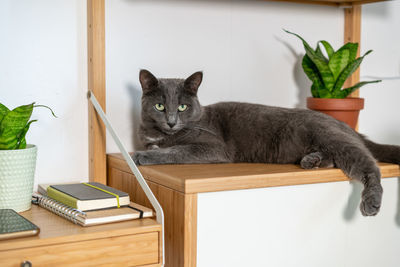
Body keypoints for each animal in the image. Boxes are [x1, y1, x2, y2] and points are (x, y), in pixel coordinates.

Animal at [134, 69, 400, 218]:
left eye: (182, 107)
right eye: (159, 106)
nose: (171, 122)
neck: (163, 133)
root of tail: (344, 124)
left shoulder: (212, 146)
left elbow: (175, 150)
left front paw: (141, 156)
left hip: (331, 137)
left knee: (369, 165)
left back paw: (372, 202)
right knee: (334, 158)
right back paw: (311, 161)